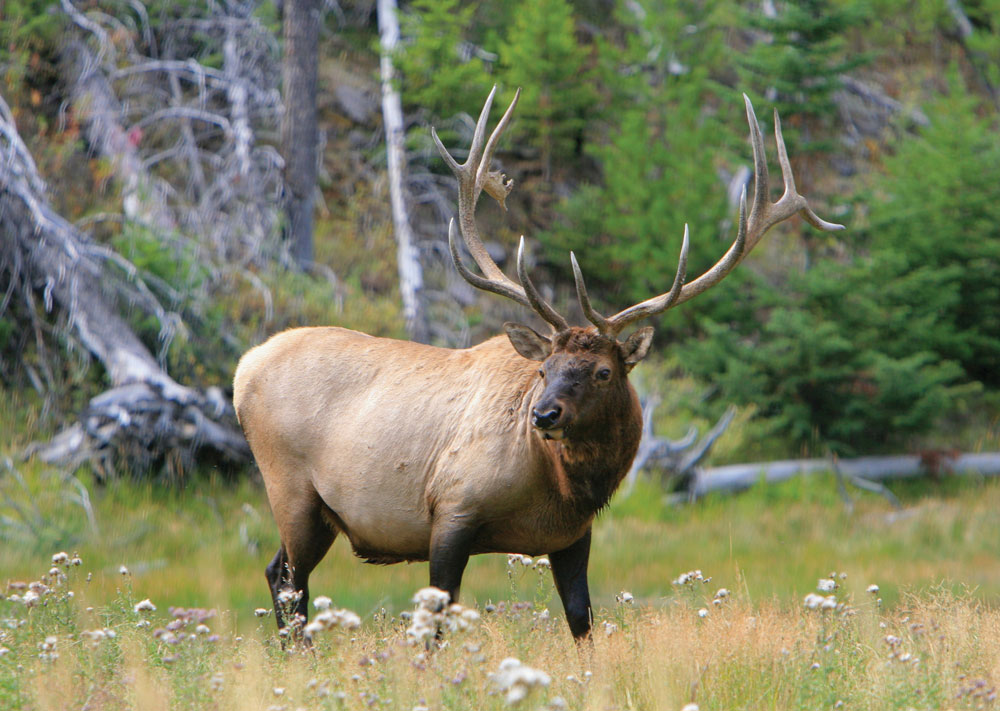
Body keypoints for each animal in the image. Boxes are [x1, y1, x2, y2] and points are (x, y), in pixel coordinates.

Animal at [234, 87, 844, 640]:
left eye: (602, 372)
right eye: (544, 371)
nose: (543, 416)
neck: (558, 487)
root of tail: (243, 369)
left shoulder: (573, 537)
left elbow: (581, 621)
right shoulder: (450, 509)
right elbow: (434, 624)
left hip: (317, 512)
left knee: (277, 574)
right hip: (291, 488)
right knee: (289, 582)